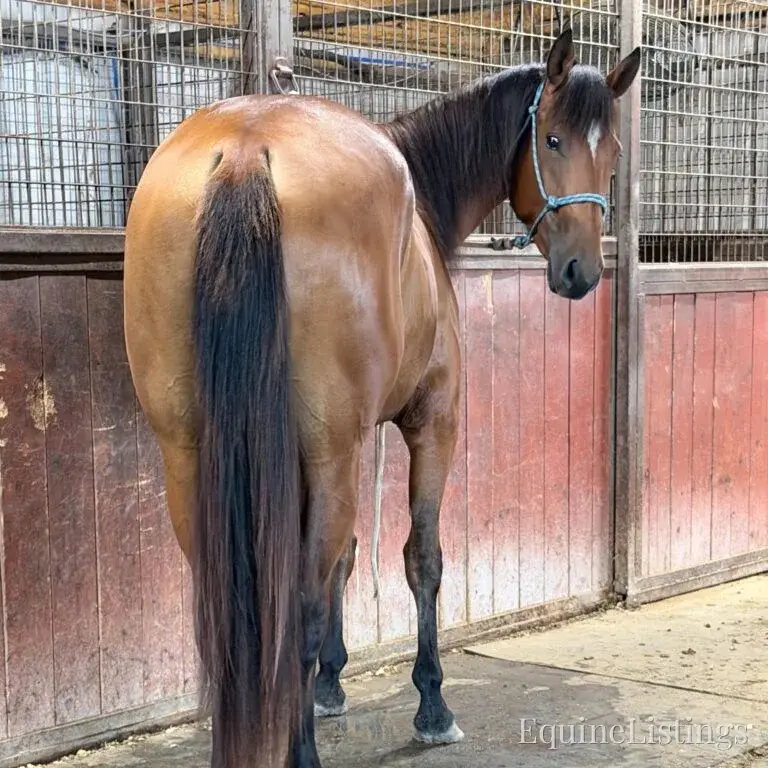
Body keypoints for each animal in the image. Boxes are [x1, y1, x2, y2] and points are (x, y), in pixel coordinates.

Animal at [123, 28, 640, 768]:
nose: (582, 272)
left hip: (190, 457)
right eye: (554, 140)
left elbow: (344, 559)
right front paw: (432, 704)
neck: (419, 211)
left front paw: (331, 687)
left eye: (613, 151)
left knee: (229, 610)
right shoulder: (431, 421)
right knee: (300, 605)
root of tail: (247, 149)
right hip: (329, 453)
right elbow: (420, 559)